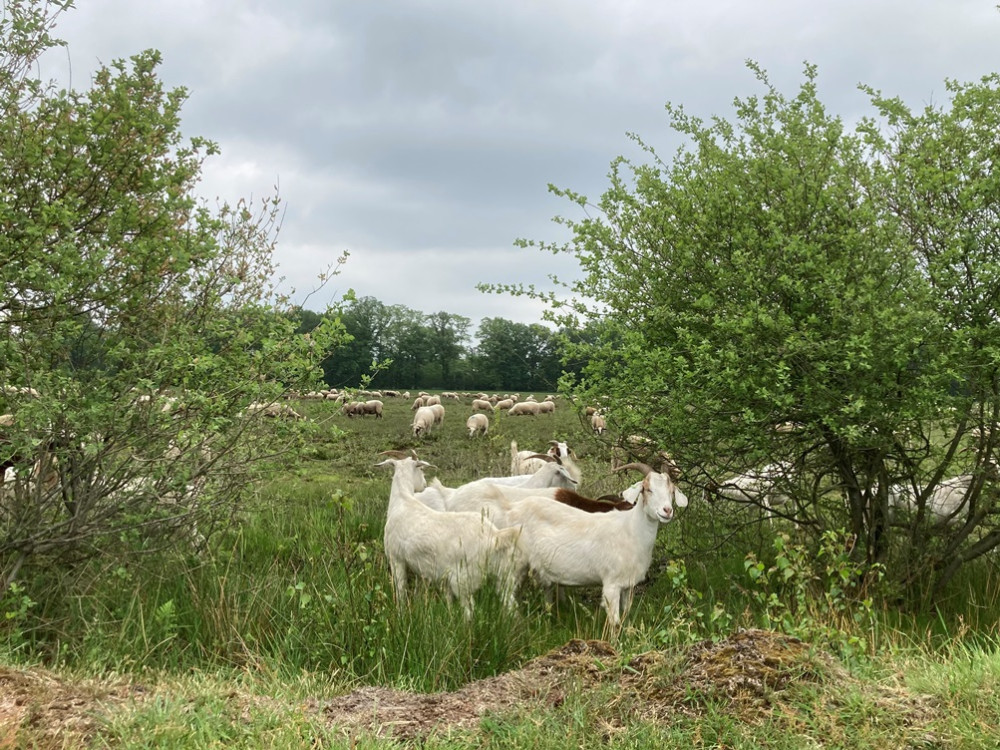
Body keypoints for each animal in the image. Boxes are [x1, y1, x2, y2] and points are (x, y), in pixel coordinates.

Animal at [376, 452, 524, 616]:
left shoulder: (396, 558)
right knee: (511, 604)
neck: (402, 501)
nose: (424, 485)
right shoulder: (425, 569)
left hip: (463, 579)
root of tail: (494, 536)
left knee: (469, 610)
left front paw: (401, 613)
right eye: (421, 470)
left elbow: (401, 589)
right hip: (504, 574)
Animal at [504, 464, 692, 636]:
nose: (667, 511)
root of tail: (511, 509)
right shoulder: (611, 585)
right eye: (647, 489)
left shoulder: (628, 586)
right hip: (515, 562)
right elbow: (615, 622)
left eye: (672, 491)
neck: (630, 530)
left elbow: (626, 615)